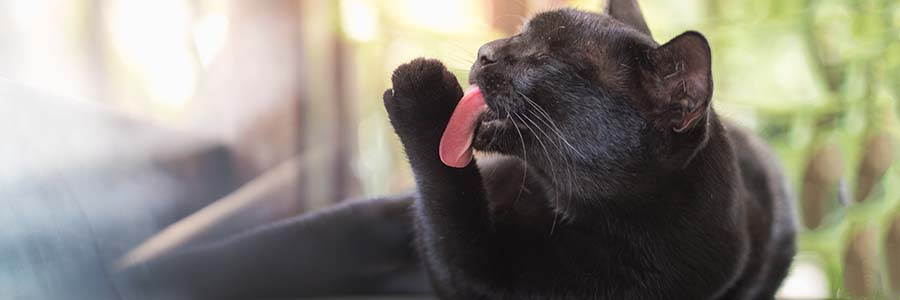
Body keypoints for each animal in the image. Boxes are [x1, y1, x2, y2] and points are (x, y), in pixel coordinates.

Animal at [118, 1, 796, 298]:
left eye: (551, 59)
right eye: (521, 32)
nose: (486, 53)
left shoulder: (488, 280)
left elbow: (449, 202)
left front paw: (422, 94)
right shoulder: (386, 218)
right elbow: (275, 249)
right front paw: (143, 276)